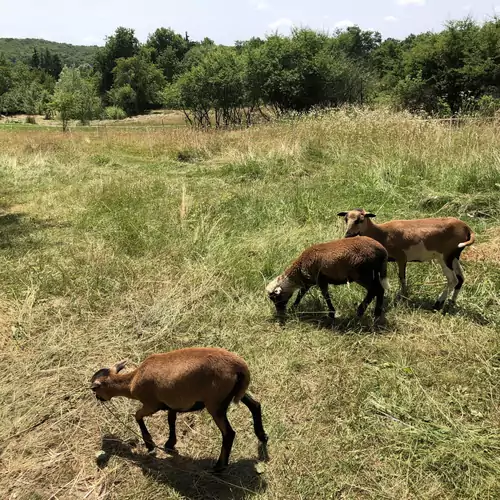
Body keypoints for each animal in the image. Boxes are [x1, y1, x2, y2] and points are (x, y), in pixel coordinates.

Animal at [91, 348, 268, 472]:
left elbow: (137, 415)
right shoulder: (173, 402)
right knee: (255, 405)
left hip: (215, 403)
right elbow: (171, 419)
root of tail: (240, 367)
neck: (131, 382)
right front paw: (170, 443)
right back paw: (262, 436)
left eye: (95, 389)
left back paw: (219, 467)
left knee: (229, 433)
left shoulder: (152, 404)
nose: (98, 399)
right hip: (232, 395)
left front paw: (150, 445)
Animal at [338, 207, 474, 308]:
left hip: (445, 257)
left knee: (453, 280)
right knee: (461, 278)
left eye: (360, 220)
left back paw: (438, 303)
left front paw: (403, 296)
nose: (348, 235)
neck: (381, 232)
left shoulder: (401, 258)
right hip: (454, 256)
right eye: (346, 219)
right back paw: (451, 303)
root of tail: (467, 228)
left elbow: (402, 277)